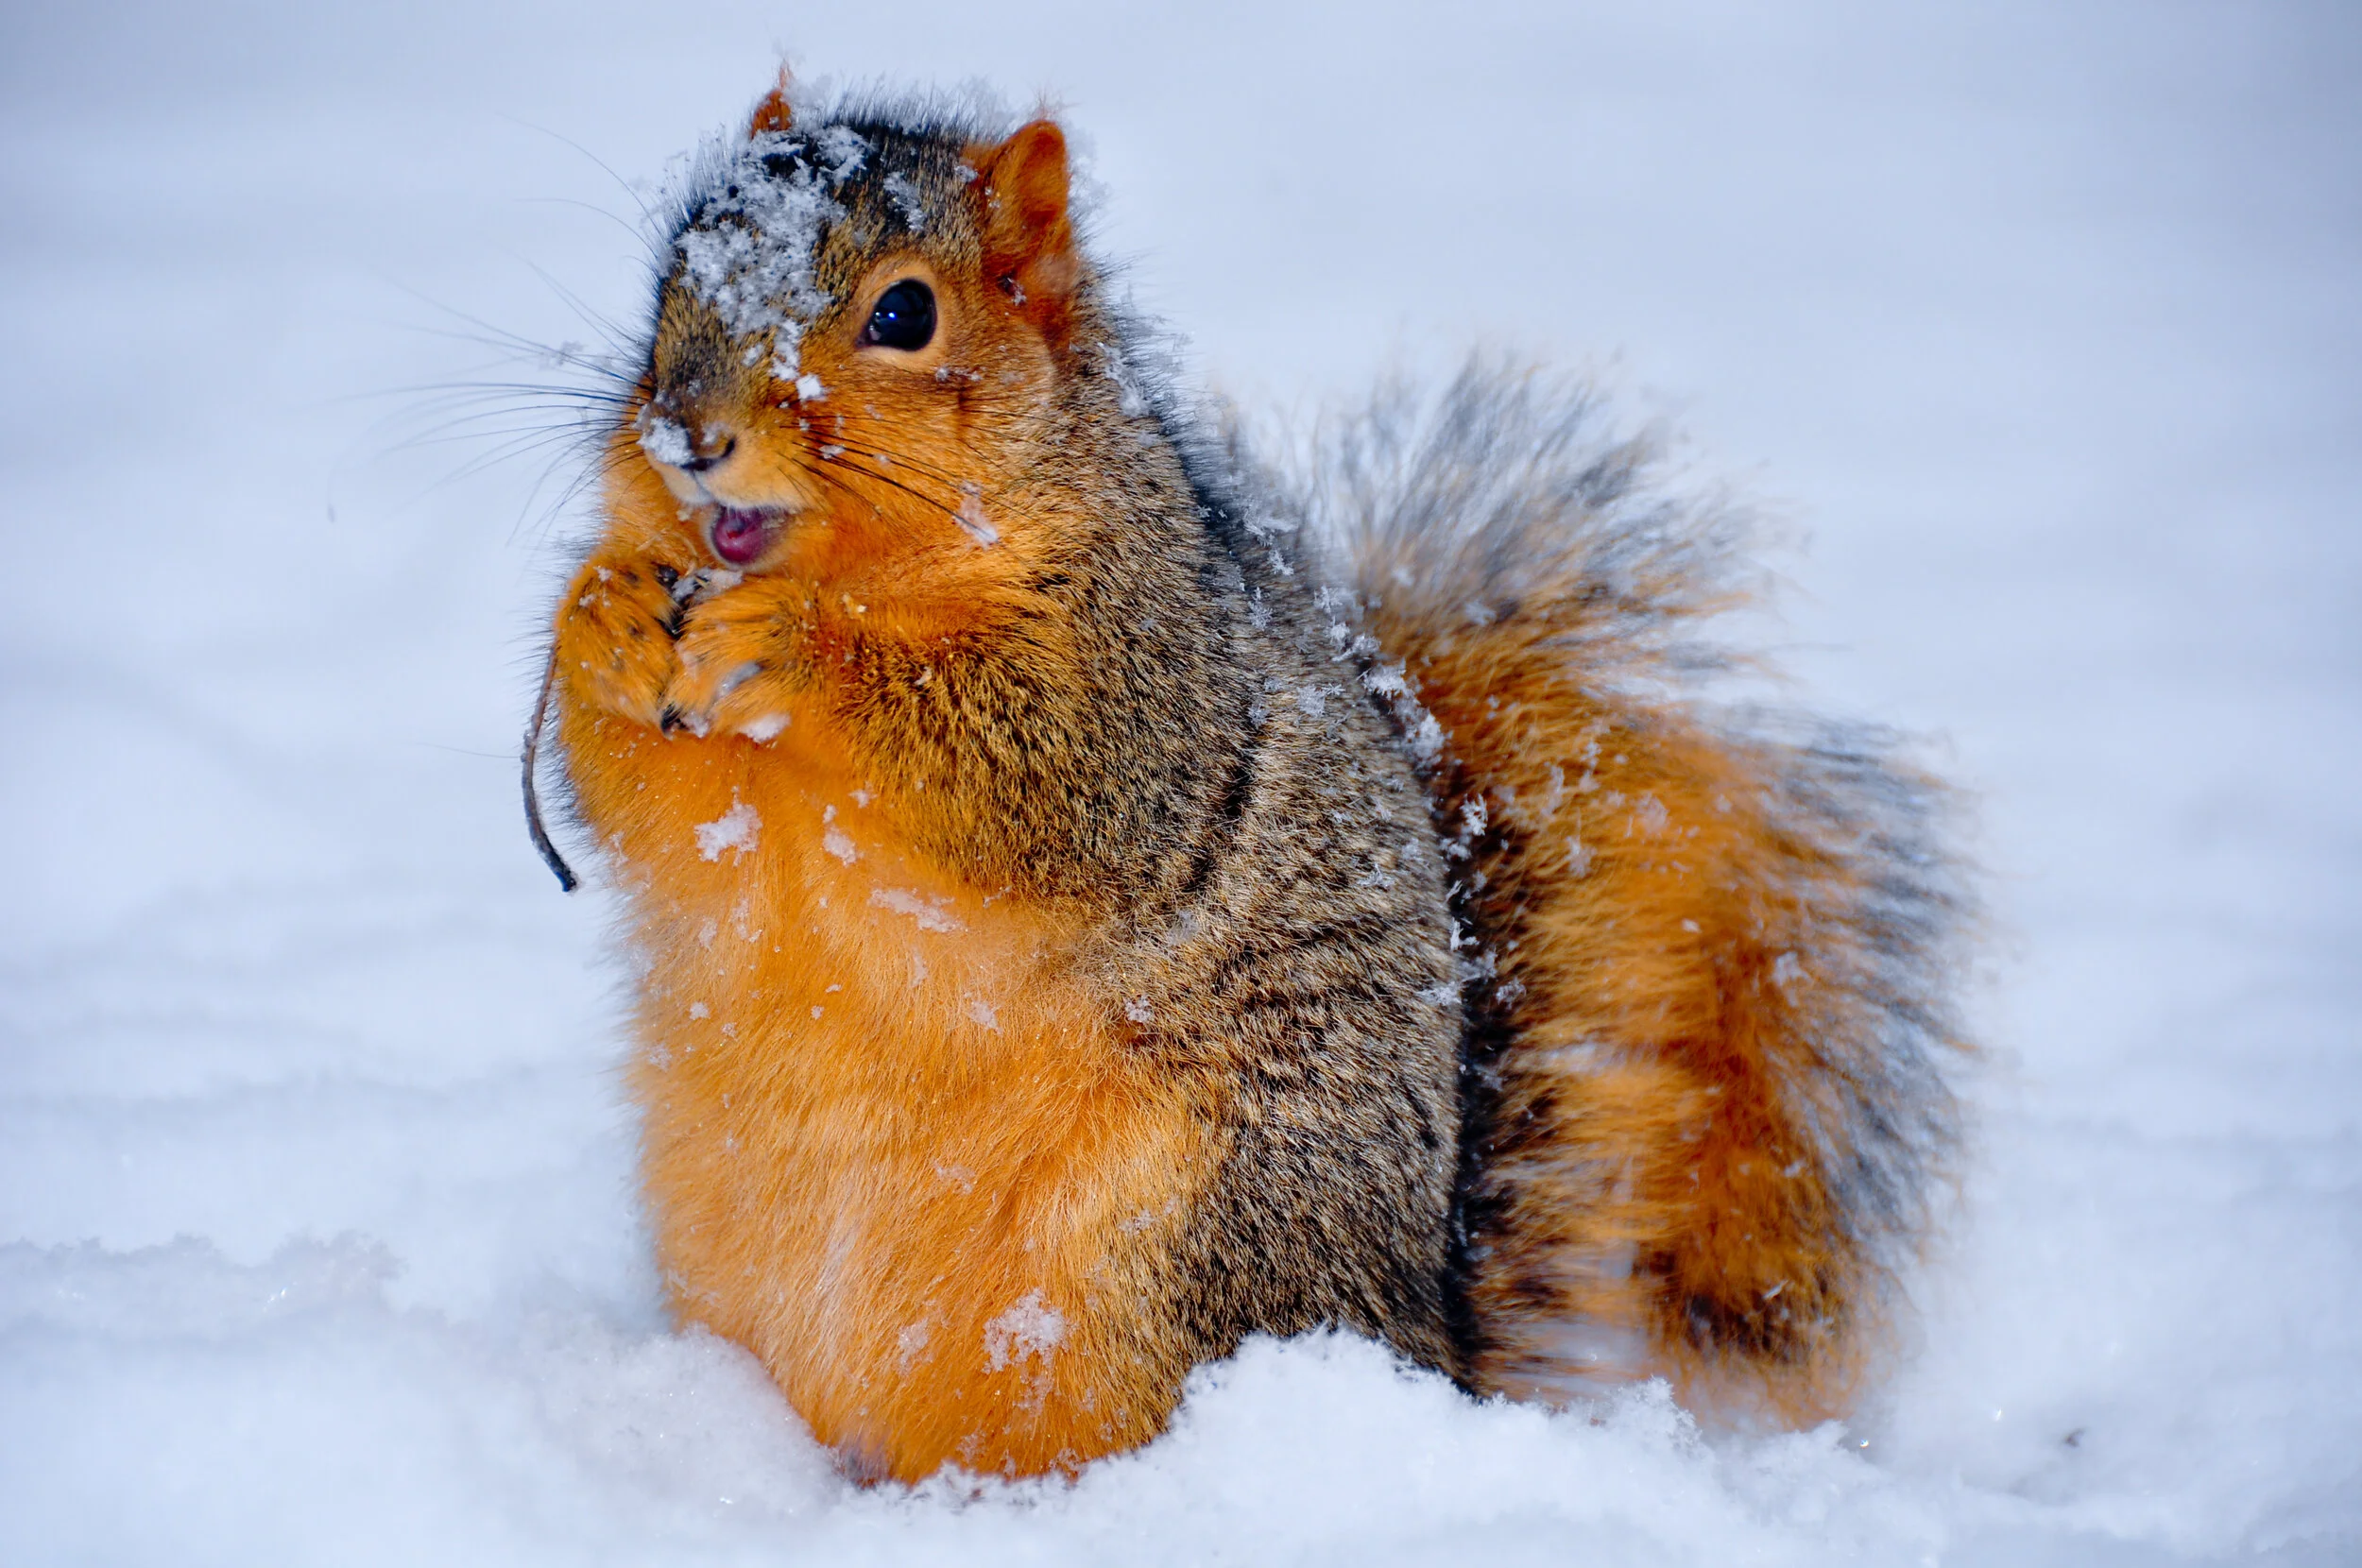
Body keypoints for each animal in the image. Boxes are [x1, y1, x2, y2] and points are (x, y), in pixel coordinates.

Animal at [530, 76, 1969, 1485]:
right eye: (674, 273)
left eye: (904, 313)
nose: (689, 431)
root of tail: (1426, 1345)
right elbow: (651, 819)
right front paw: (601, 620)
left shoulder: (1147, 680)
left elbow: (1045, 774)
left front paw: (790, 645)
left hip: (1178, 1238)